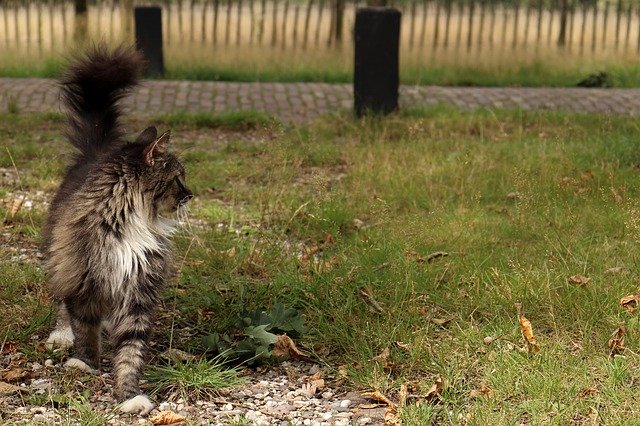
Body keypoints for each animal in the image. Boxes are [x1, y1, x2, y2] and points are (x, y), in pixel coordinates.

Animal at [43, 46, 192, 416]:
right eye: (178, 179)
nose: (191, 194)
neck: (132, 223)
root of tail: (97, 152)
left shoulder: (139, 290)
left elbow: (130, 351)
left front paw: (128, 394)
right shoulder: (83, 281)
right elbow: (85, 330)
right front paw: (85, 363)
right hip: (61, 261)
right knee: (62, 302)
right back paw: (62, 335)